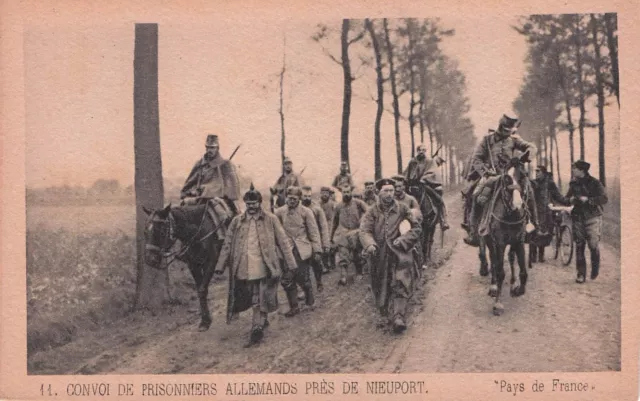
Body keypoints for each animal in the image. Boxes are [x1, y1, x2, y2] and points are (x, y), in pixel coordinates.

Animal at [142, 198, 232, 330]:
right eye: (145, 231)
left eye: (162, 231)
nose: (150, 259)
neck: (198, 232)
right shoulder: (193, 265)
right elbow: (200, 290)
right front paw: (205, 321)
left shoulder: (211, 262)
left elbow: (202, 289)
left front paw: (206, 320)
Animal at [482, 151, 532, 316]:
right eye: (506, 178)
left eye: (524, 175)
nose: (517, 206)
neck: (510, 215)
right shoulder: (499, 242)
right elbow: (499, 271)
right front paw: (498, 304)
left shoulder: (519, 241)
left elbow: (523, 271)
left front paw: (518, 289)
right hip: (490, 242)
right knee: (493, 260)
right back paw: (493, 286)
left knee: (510, 258)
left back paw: (513, 283)